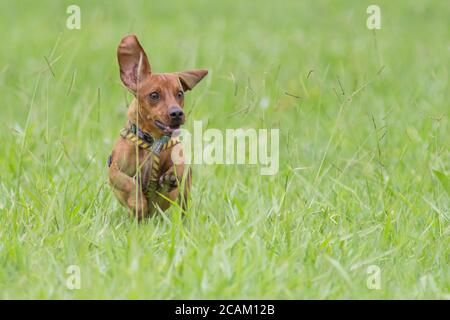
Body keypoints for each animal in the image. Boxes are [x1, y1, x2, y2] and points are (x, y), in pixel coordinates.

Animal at [108, 35, 208, 220]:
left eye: (180, 94)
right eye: (154, 95)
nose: (177, 113)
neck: (153, 141)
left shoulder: (180, 158)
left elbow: (180, 165)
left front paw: (171, 175)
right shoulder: (114, 171)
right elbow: (128, 183)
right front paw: (138, 203)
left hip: (184, 195)